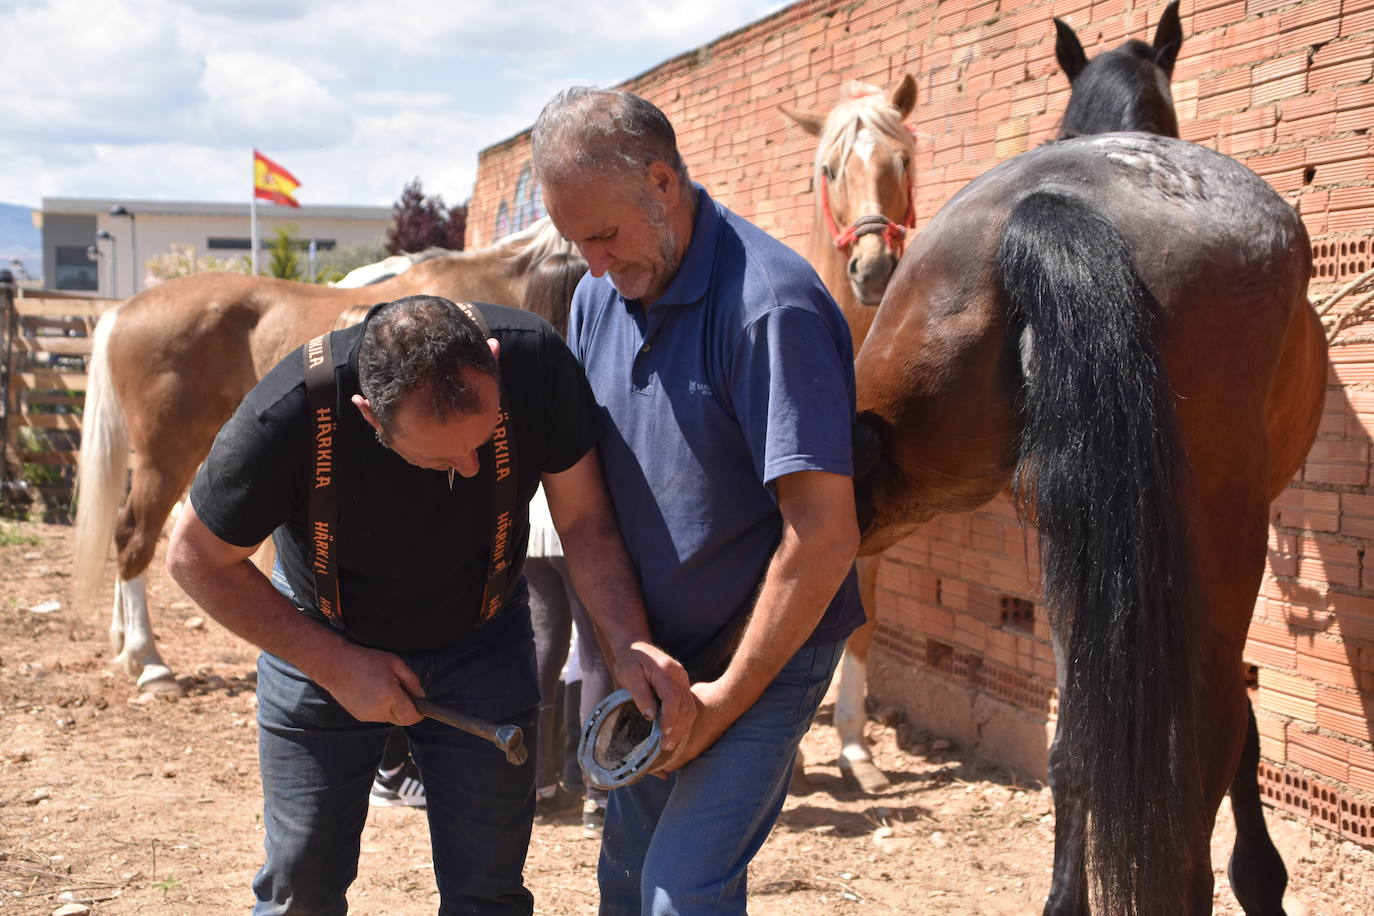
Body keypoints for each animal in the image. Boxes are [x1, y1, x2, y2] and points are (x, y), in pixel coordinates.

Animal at [851, 3, 1324, 911]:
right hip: (1219, 547)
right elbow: (1243, 739)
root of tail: (1053, 202)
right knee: (1200, 756)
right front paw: (1261, 875)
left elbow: (1077, 739)